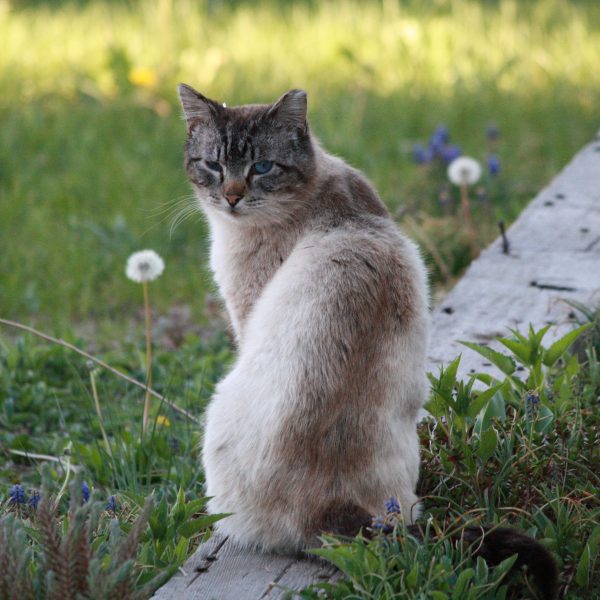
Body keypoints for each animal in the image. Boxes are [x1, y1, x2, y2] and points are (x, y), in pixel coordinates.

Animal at [177, 85, 556, 600]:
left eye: (262, 168)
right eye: (214, 165)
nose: (232, 198)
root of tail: (328, 510)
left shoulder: (244, 316)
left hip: (221, 405)